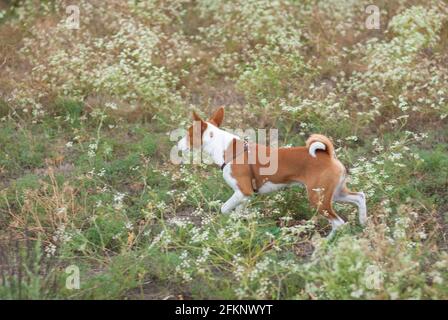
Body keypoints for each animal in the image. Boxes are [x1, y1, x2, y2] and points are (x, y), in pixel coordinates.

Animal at [177, 107, 366, 238]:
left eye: (187, 134)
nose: (177, 145)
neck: (227, 150)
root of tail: (327, 155)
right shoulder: (245, 196)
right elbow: (237, 213)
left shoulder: (243, 191)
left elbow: (224, 208)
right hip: (334, 194)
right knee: (360, 197)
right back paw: (364, 222)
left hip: (318, 198)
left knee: (339, 223)